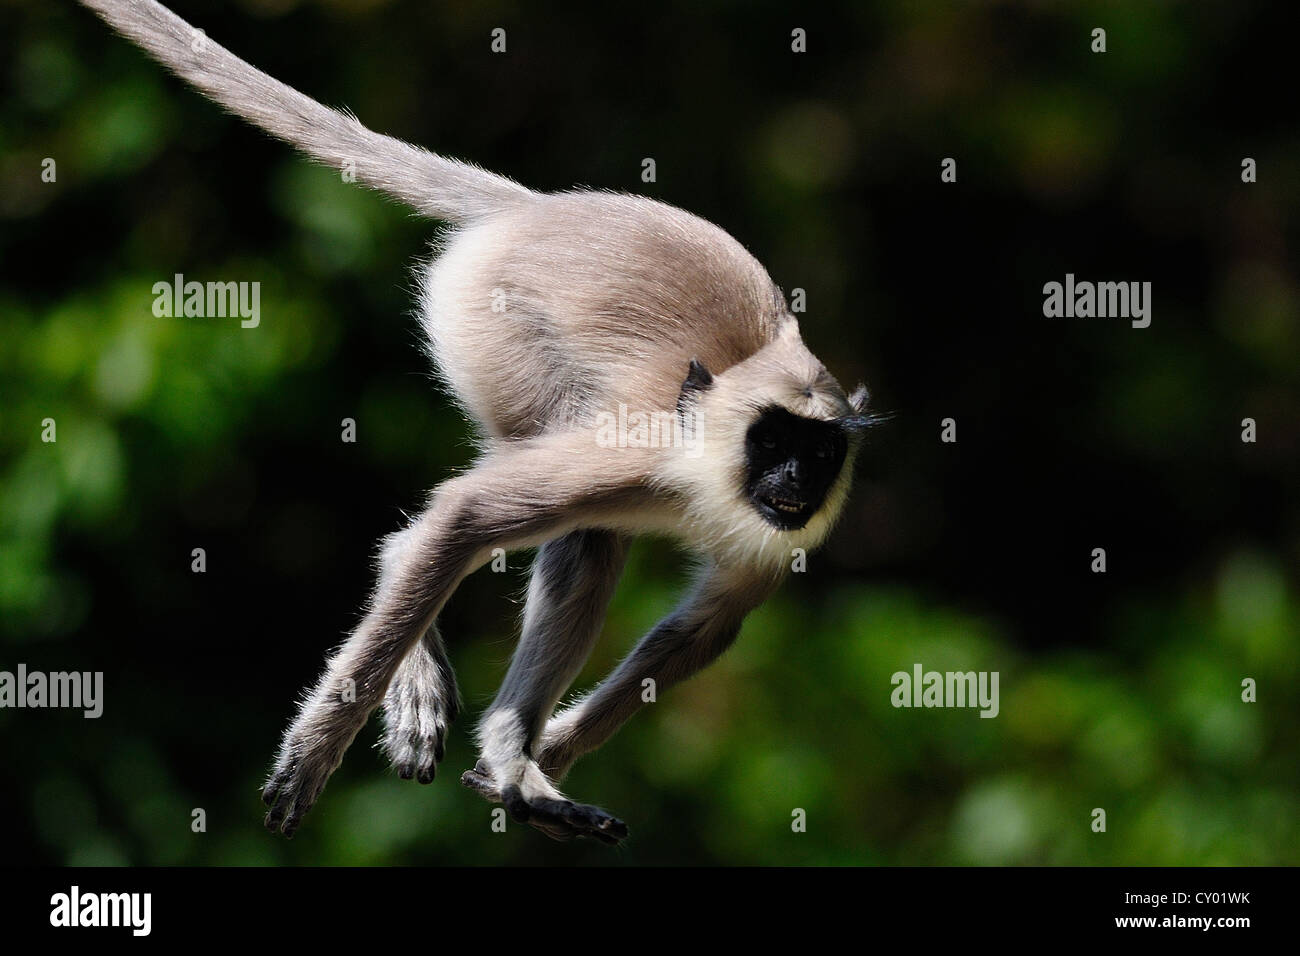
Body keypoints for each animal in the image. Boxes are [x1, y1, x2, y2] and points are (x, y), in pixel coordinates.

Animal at [83, 0, 883, 842]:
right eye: (775, 440)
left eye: (819, 454)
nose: (793, 478)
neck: (706, 472)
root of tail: (534, 208)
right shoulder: (639, 451)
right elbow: (471, 513)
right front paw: (319, 747)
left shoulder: (774, 537)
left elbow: (704, 627)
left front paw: (549, 754)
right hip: (497, 335)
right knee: (548, 530)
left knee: (575, 542)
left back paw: (512, 755)